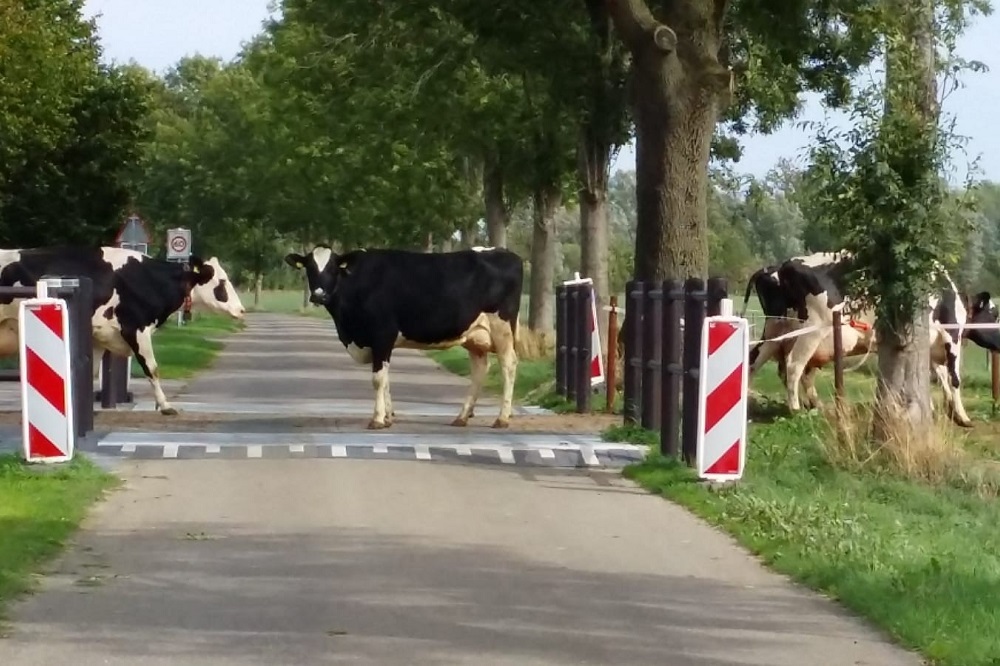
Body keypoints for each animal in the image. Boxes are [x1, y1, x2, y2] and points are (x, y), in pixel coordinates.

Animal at [0, 246, 246, 412]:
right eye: (222, 281)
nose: (242, 309)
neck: (149, 279)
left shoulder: (99, 335)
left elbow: (90, 371)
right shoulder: (136, 328)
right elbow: (152, 368)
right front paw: (165, 405)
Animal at [284, 246, 524, 428]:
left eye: (333, 268)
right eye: (310, 268)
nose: (318, 295)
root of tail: (506, 252)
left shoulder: (382, 335)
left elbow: (378, 379)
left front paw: (377, 419)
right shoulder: (381, 343)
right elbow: (386, 380)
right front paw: (388, 418)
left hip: (502, 328)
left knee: (508, 365)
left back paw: (502, 418)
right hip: (475, 336)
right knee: (480, 369)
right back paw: (462, 417)